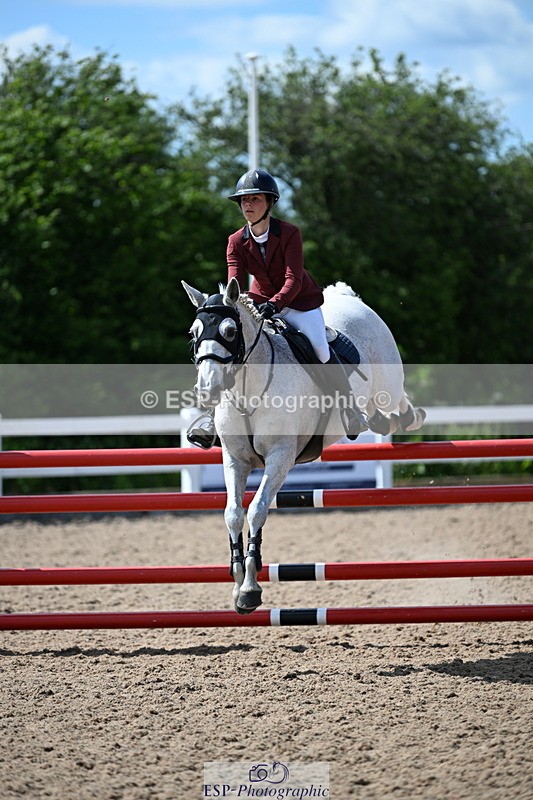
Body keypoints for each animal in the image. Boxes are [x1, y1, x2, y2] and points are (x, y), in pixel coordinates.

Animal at [182, 277, 425, 614]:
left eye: (229, 332)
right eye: (193, 333)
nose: (207, 390)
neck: (249, 391)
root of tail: (347, 296)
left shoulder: (280, 457)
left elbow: (257, 509)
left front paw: (250, 589)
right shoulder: (235, 459)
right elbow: (233, 513)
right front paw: (237, 584)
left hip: (389, 384)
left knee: (398, 402)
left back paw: (408, 417)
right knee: (382, 415)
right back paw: (378, 422)